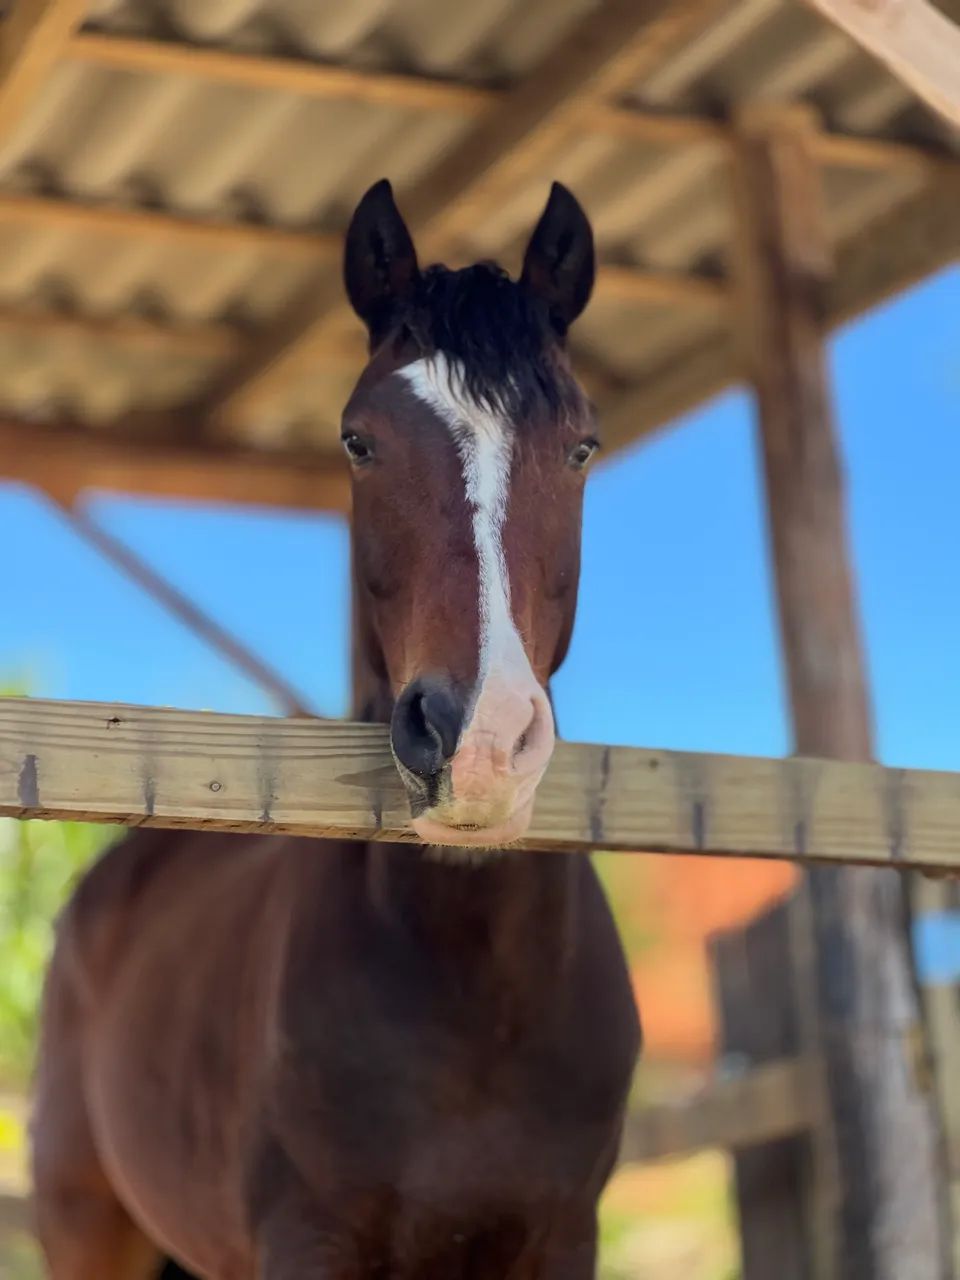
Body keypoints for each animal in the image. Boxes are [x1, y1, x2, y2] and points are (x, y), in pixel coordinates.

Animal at [31, 179, 641, 1280]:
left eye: (582, 446)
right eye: (359, 440)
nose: (477, 743)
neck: (471, 992)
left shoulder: (564, 1239)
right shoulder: (306, 1241)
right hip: (87, 1227)